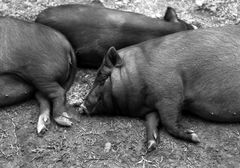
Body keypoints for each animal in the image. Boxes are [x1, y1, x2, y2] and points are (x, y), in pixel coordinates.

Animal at [81, 24, 240, 152]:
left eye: (102, 77)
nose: (82, 105)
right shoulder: (153, 106)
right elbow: (151, 122)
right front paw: (151, 145)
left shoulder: (170, 93)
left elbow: (169, 121)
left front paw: (195, 136)